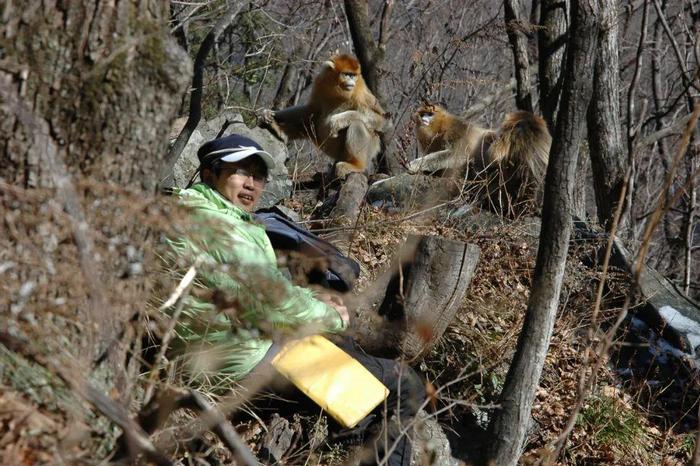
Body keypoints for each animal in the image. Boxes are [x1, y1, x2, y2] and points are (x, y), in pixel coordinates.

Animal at [258, 54, 392, 177]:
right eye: (347, 74)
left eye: (353, 75)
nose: (352, 81)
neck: (338, 90)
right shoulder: (320, 82)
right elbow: (310, 109)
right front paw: (270, 114)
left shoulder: (360, 90)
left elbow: (383, 121)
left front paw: (336, 121)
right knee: (311, 118)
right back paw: (279, 130)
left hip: (367, 149)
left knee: (357, 124)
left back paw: (356, 165)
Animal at [410, 102, 552, 215]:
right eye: (423, 114)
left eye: (430, 114)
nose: (424, 118)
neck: (438, 129)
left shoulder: (455, 129)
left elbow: (457, 155)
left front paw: (413, 165)